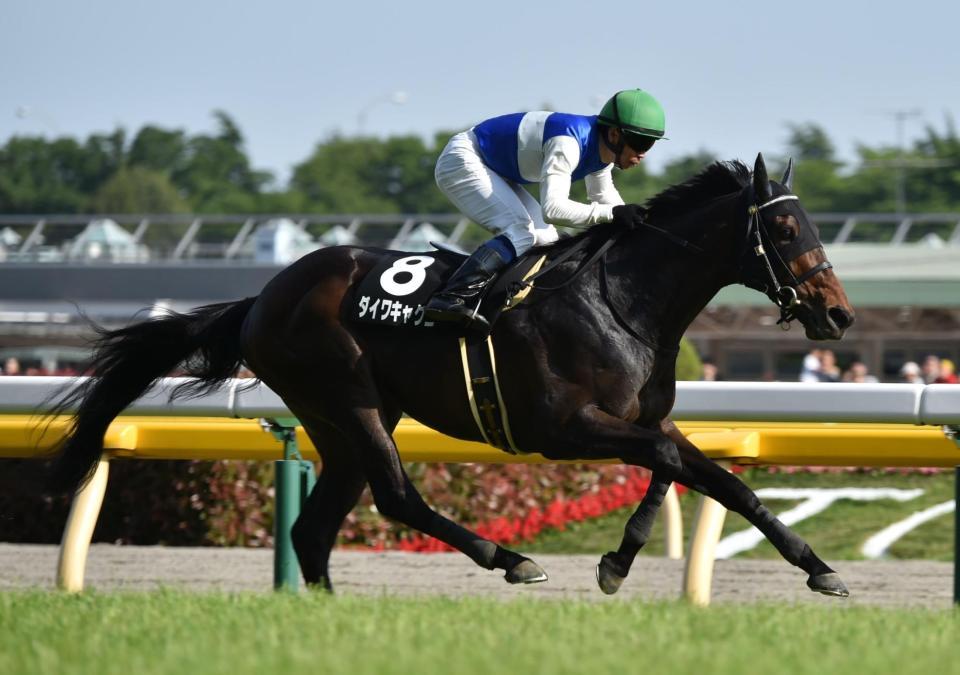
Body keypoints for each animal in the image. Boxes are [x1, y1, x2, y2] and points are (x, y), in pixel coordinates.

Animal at [47, 153, 855, 597]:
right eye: (785, 228)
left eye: (813, 224)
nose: (839, 314)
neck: (622, 302)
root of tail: (262, 297)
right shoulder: (565, 427)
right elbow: (677, 466)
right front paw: (614, 564)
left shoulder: (645, 418)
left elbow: (712, 478)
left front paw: (817, 567)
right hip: (349, 396)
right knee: (395, 496)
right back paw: (510, 558)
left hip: (336, 421)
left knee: (316, 527)